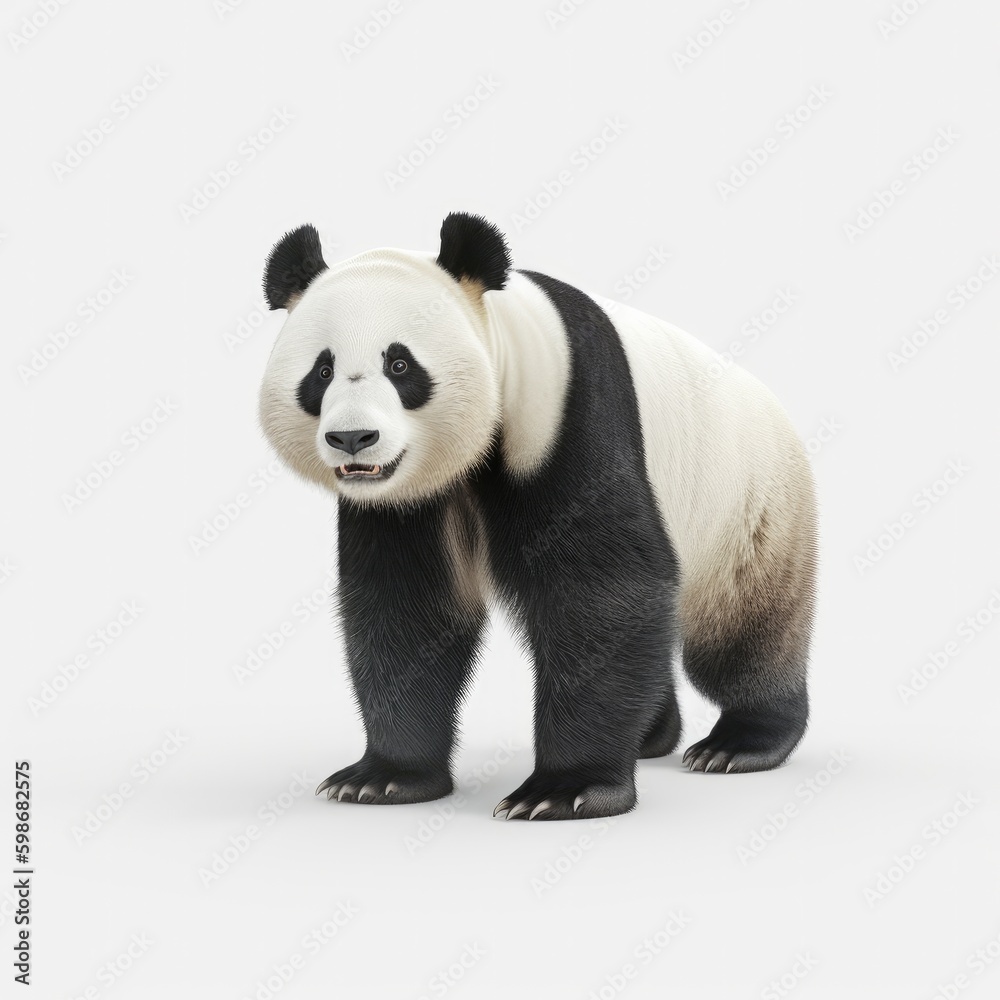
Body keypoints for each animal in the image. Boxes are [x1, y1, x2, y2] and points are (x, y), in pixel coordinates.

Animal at [258, 212, 817, 820]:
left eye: (400, 364)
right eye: (322, 371)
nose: (353, 438)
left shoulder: (570, 412)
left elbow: (602, 589)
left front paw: (565, 790)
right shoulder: (402, 499)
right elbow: (406, 605)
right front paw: (384, 778)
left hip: (749, 505)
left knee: (739, 627)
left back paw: (740, 742)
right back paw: (652, 734)